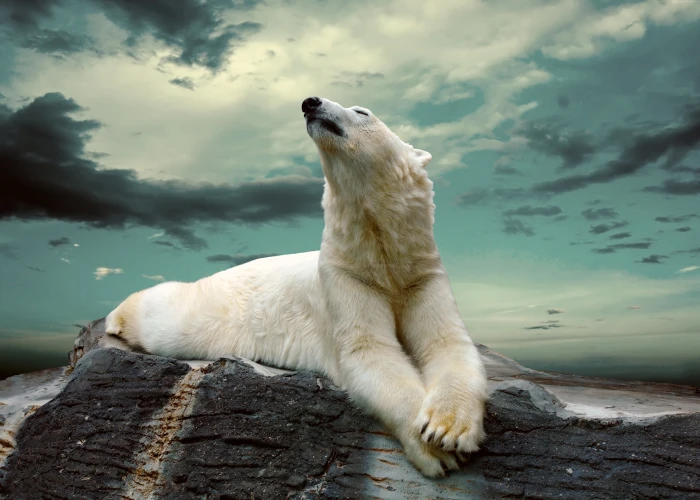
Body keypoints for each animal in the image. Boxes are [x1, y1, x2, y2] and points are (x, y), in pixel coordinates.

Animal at [105, 96, 488, 478]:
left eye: (362, 112)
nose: (310, 102)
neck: (380, 254)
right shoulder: (345, 277)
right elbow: (369, 351)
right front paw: (434, 449)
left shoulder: (421, 274)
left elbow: (447, 342)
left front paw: (447, 428)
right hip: (212, 309)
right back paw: (115, 318)